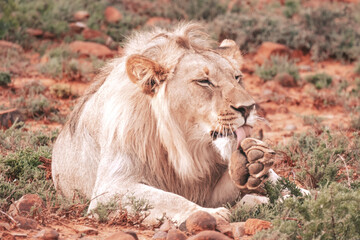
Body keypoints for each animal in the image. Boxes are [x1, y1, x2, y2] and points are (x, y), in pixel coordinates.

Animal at [51, 23, 300, 225]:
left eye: (237, 77)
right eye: (204, 81)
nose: (248, 108)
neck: (187, 147)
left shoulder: (206, 187)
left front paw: (249, 166)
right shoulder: (109, 189)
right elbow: (170, 199)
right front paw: (211, 214)